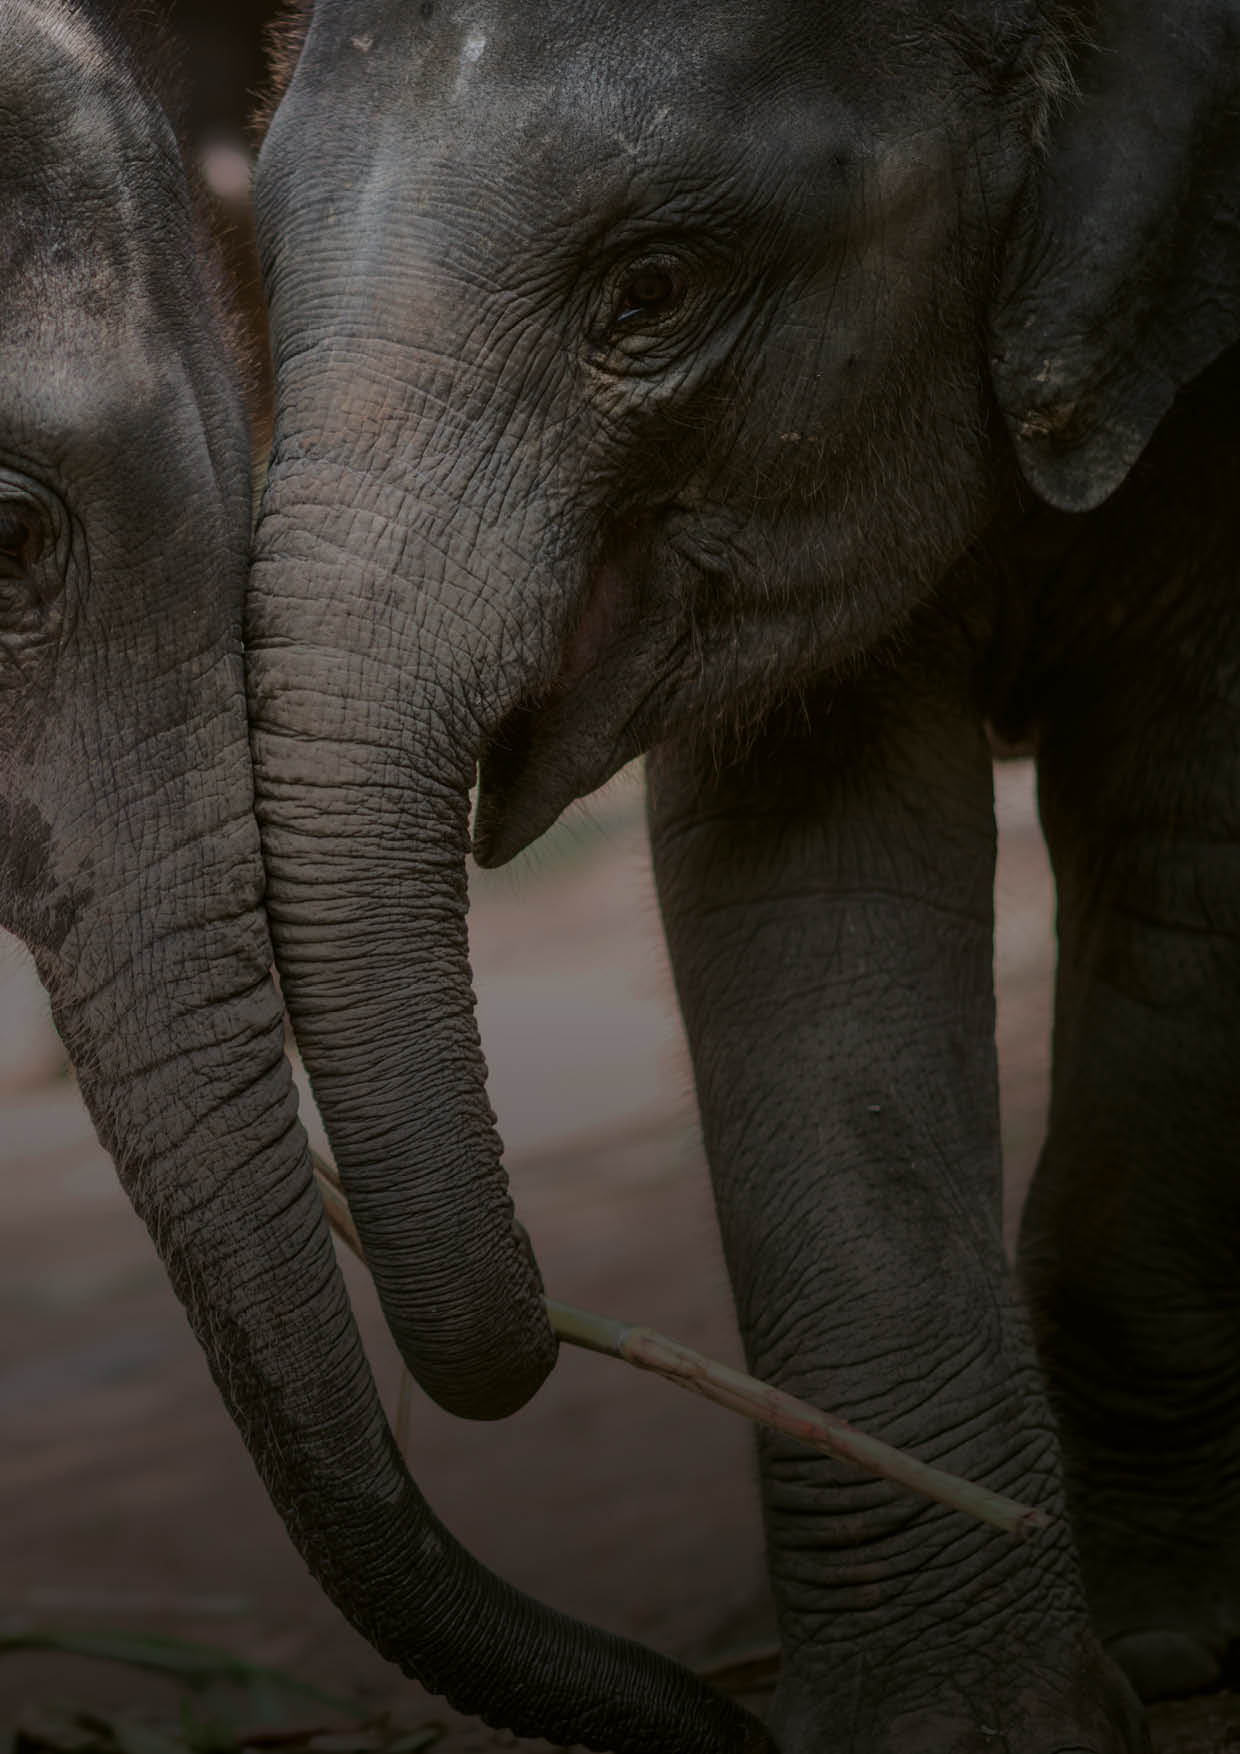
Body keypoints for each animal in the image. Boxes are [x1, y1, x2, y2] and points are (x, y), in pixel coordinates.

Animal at [246, 0, 1240, 1750]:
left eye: (651, 291)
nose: (713, 1711)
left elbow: (1184, 837)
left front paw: (1166, 1642)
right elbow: (806, 902)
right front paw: (953, 1726)